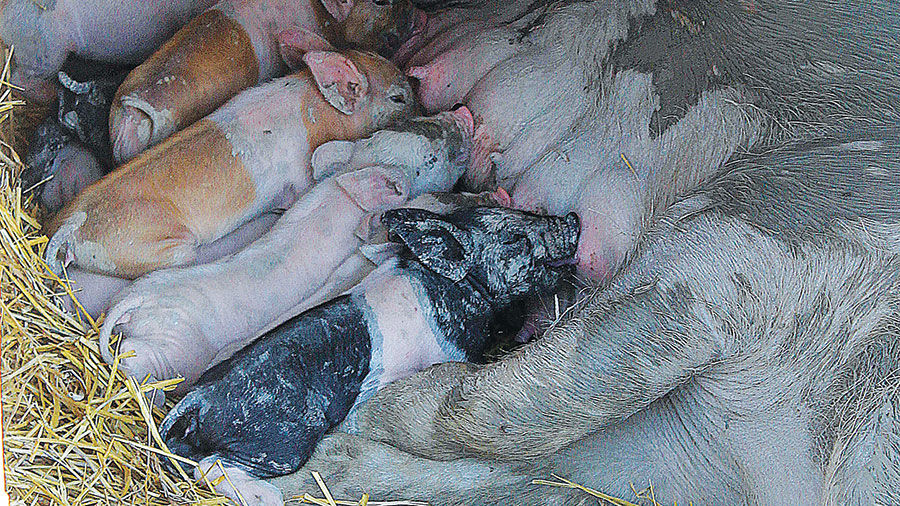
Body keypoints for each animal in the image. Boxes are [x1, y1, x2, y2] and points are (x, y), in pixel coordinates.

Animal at [44, 49, 416, 279]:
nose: (420, 102)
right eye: (398, 98)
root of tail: (67, 228)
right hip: (161, 248)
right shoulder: (300, 180)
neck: (319, 111)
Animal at [159, 205, 580, 505]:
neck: (453, 286)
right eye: (515, 241)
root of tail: (199, 400)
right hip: (280, 441)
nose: (573, 218)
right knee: (212, 467)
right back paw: (270, 497)